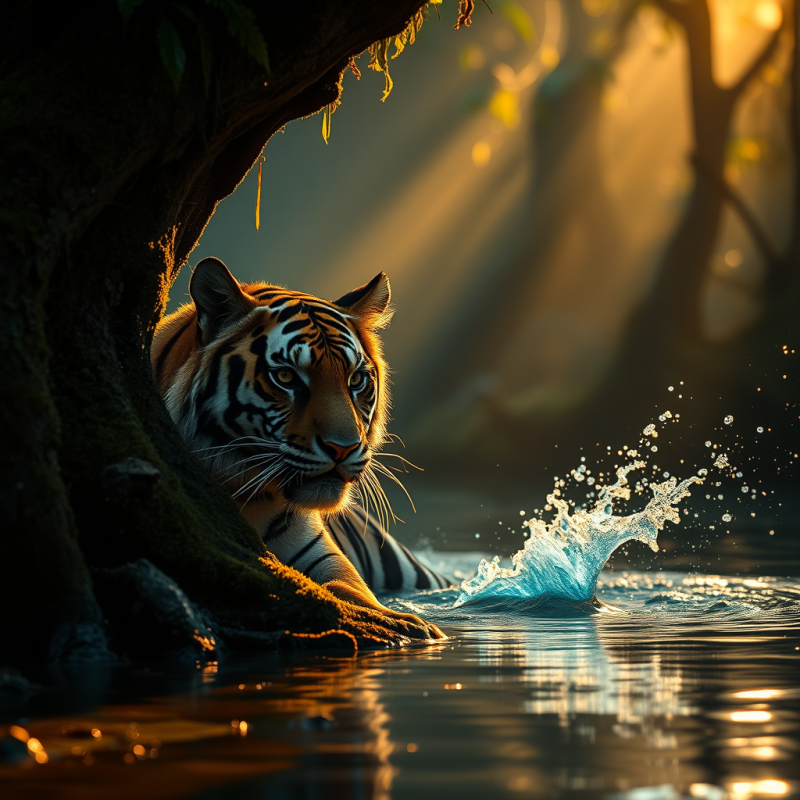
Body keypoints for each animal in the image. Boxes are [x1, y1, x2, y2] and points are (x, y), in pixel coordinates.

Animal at [152, 257, 451, 627]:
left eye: (356, 380)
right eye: (286, 377)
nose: (343, 448)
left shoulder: (322, 555)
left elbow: (350, 589)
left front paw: (399, 621)